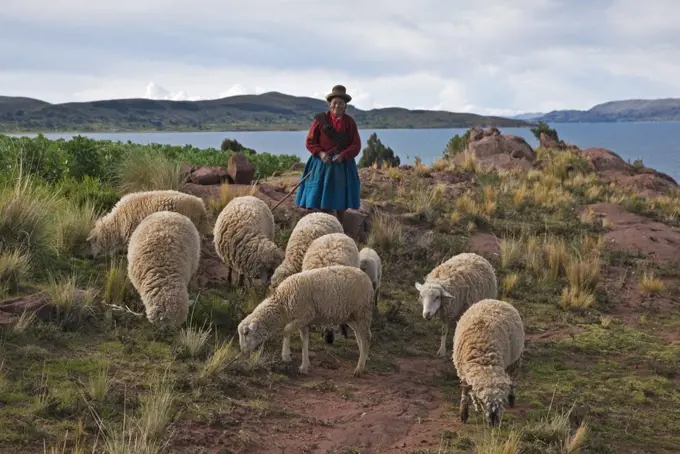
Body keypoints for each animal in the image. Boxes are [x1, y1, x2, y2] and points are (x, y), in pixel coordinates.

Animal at [238, 264, 378, 378]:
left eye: (246, 333)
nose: (243, 351)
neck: (282, 303)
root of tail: (367, 278)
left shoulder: (305, 315)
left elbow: (286, 330)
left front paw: (286, 356)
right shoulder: (303, 321)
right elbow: (304, 341)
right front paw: (304, 366)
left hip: (362, 312)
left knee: (367, 337)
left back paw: (359, 368)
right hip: (352, 316)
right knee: (360, 337)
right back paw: (363, 360)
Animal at [454, 298, 524, 426]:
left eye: (502, 401)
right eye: (483, 401)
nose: (494, 422)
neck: (484, 361)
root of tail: (495, 300)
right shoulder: (463, 372)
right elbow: (466, 393)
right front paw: (464, 414)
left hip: (515, 359)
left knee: (513, 380)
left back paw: (512, 397)